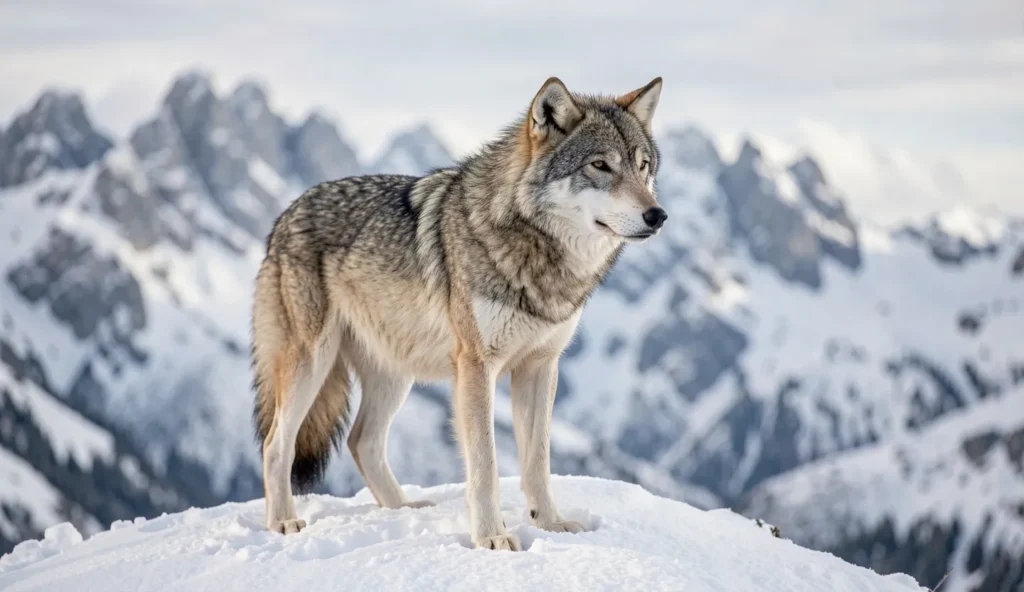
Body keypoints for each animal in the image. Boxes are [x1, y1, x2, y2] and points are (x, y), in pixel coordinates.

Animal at [251, 76, 667, 550]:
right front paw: (491, 538)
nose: (657, 215)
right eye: (600, 165)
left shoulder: (541, 367)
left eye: (643, 167)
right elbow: (485, 462)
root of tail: (284, 217)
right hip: (312, 362)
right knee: (276, 443)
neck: (536, 256)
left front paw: (550, 524)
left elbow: (538, 461)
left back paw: (405, 511)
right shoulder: (476, 366)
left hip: (395, 375)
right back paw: (284, 522)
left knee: (362, 442)